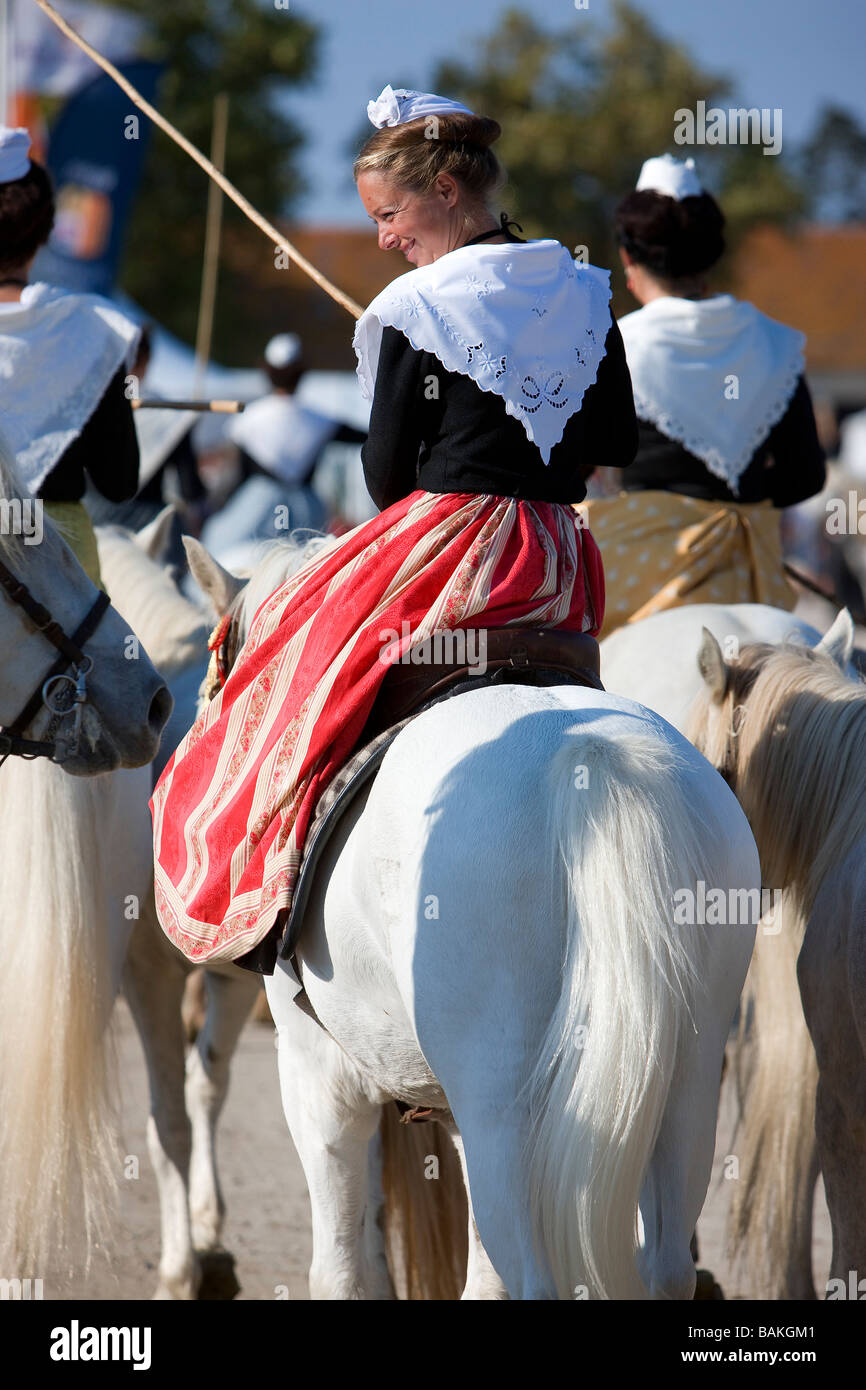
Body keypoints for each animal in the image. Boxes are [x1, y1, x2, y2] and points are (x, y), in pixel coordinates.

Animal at [166, 533, 761, 1301]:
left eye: (218, 670)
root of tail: (594, 761)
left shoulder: (318, 1078)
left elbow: (341, 1266)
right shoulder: (446, 1112)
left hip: (502, 1109)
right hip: (683, 1084)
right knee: (662, 1264)